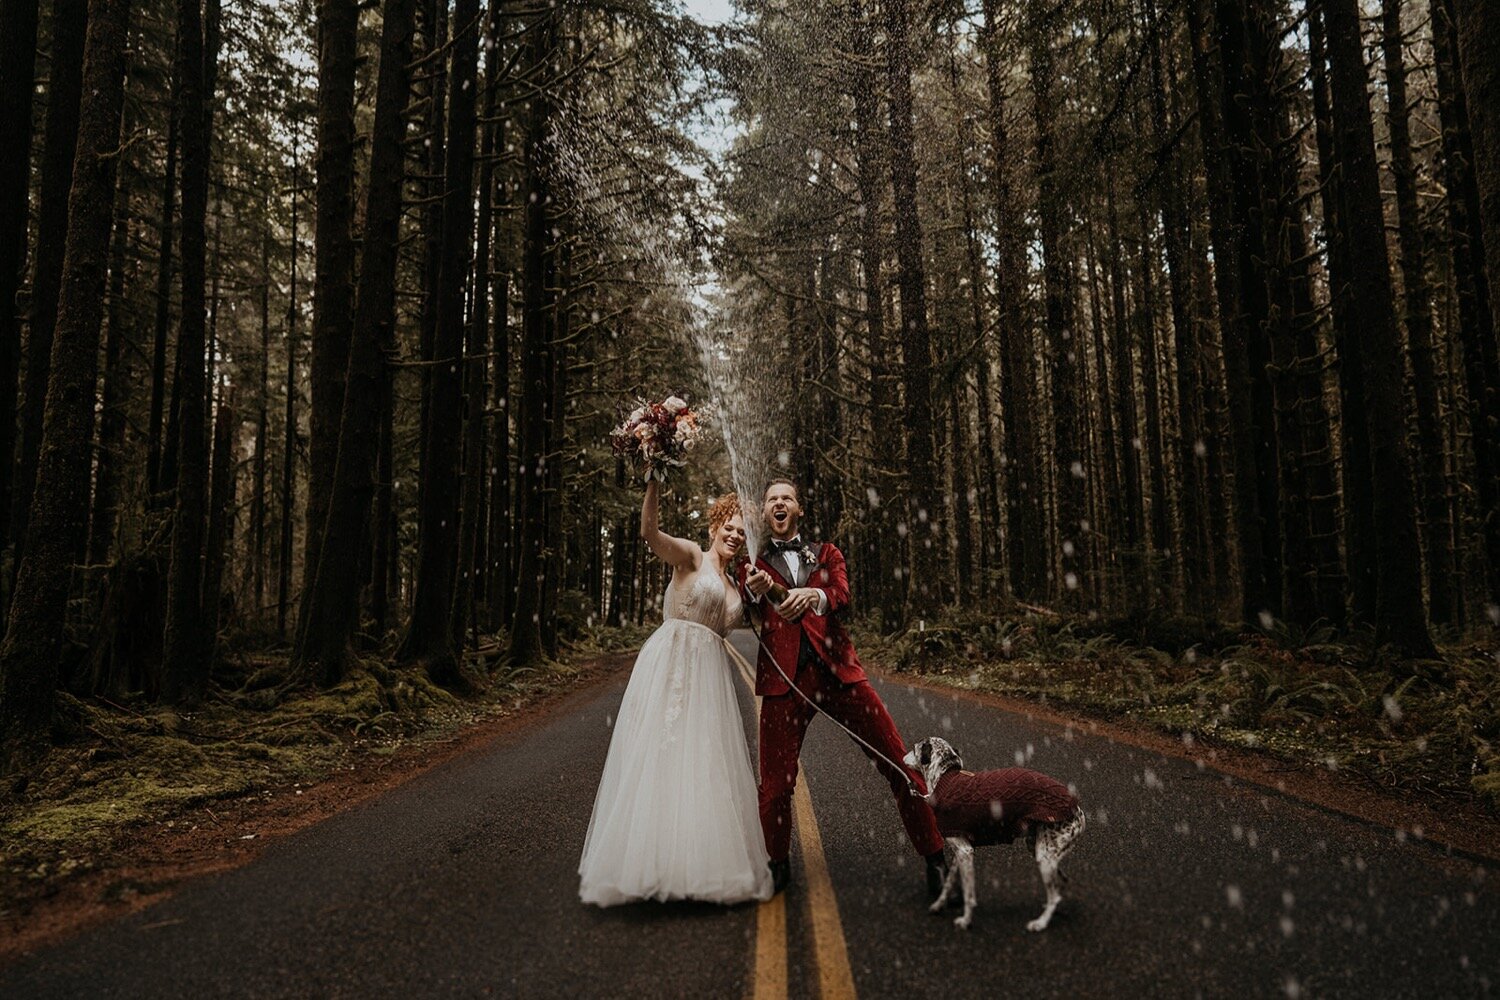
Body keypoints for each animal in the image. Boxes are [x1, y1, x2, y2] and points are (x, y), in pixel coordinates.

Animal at [894, 734, 1086, 929]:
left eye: (914, 748)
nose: (901, 757)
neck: (944, 780)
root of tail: (1077, 810)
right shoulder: (960, 851)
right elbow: (948, 884)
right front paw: (939, 905)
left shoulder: (965, 852)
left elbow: (969, 895)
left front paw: (965, 921)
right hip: (1038, 847)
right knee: (1060, 885)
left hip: (1044, 857)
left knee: (1055, 896)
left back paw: (1040, 922)